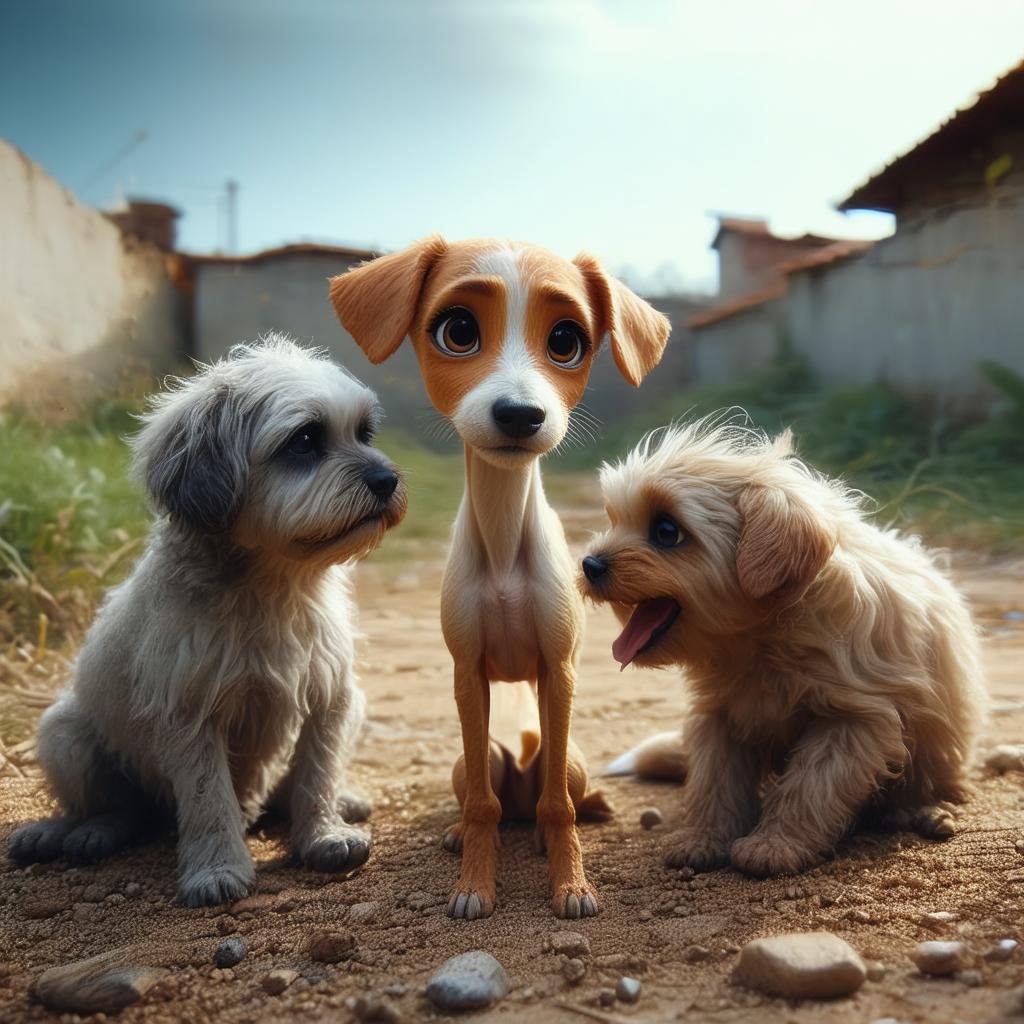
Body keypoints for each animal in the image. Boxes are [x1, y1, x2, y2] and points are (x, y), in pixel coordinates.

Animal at [9, 339, 407, 909]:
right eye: (305, 441)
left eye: (364, 433)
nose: (389, 480)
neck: (273, 588)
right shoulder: (190, 714)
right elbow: (209, 800)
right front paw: (218, 868)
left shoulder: (331, 698)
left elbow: (317, 774)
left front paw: (324, 834)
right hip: (63, 734)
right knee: (119, 809)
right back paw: (78, 833)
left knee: (286, 787)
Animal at [327, 239, 671, 921]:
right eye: (457, 331)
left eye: (566, 340)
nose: (519, 414)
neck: (507, 545)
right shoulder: (467, 672)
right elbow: (483, 806)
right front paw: (473, 886)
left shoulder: (558, 672)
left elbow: (558, 807)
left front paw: (572, 886)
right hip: (472, 759)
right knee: (485, 797)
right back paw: (463, 830)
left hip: (570, 758)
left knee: (553, 797)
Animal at [581, 419, 987, 876]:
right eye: (615, 519)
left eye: (667, 531)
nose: (589, 564)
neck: (759, 640)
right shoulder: (719, 716)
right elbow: (714, 782)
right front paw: (703, 838)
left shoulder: (854, 720)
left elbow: (810, 784)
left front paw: (775, 844)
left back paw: (921, 811)